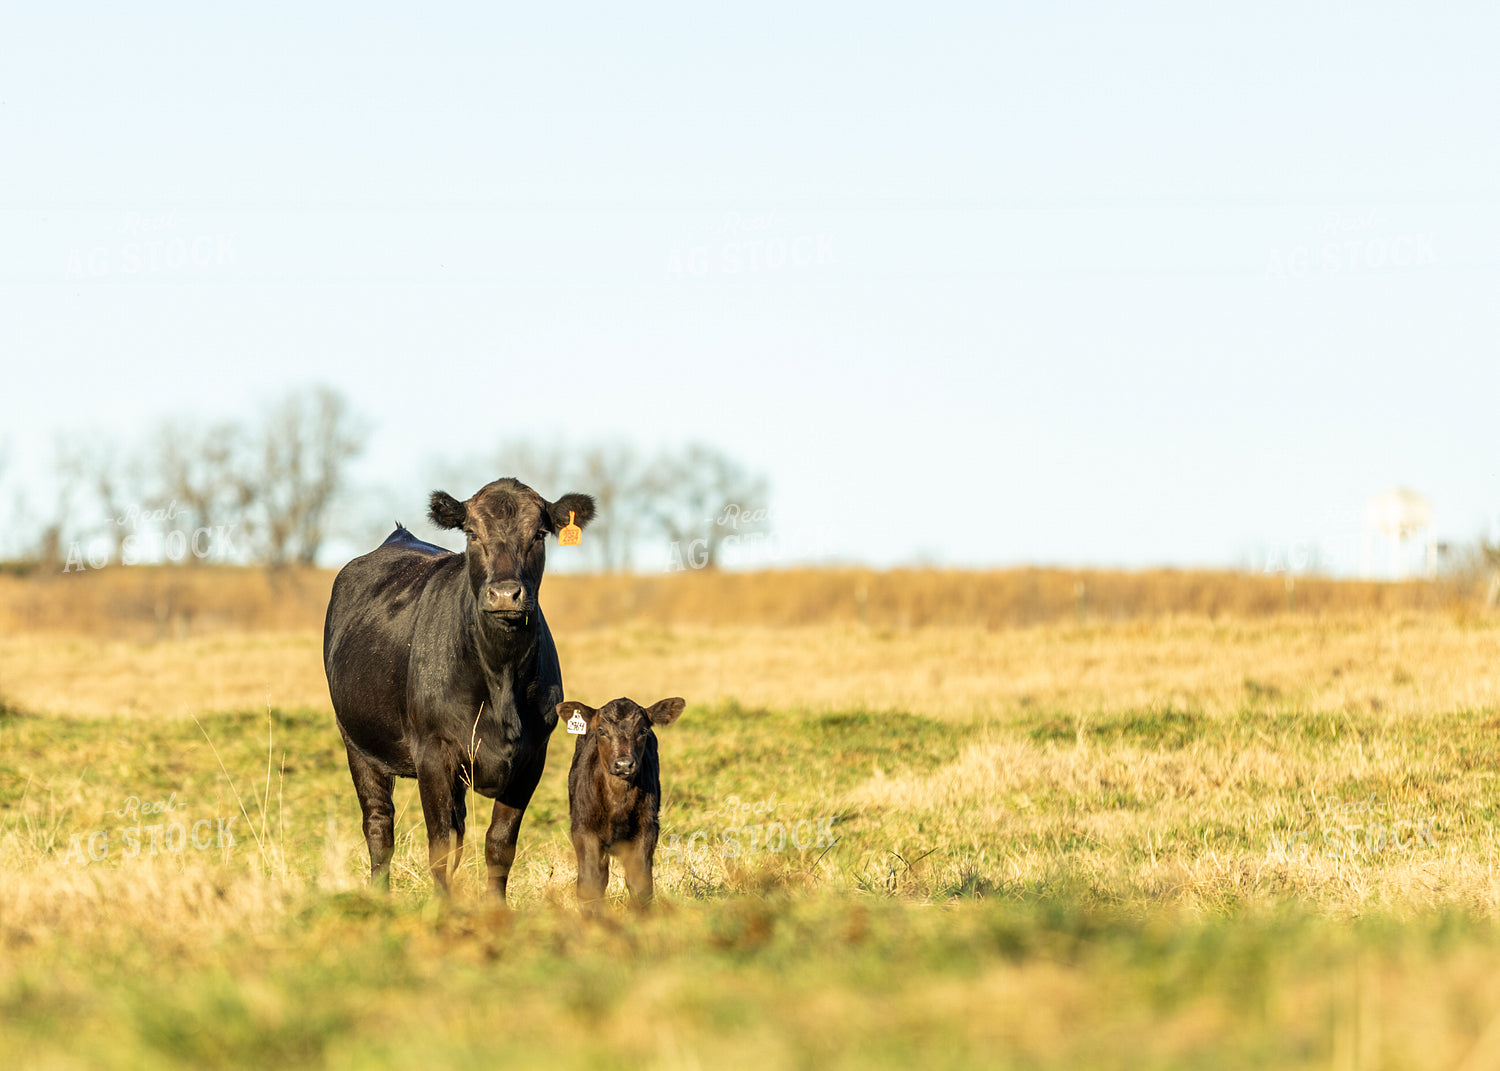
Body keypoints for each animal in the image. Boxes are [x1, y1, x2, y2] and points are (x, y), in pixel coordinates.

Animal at [323, 477, 595, 898]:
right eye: (472, 533)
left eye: (538, 534)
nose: (505, 594)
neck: (501, 678)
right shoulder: (434, 752)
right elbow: (441, 845)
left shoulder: (532, 757)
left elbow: (499, 844)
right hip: (357, 743)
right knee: (379, 825)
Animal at [555, 696, 686, 912]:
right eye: (601, 731)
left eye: (643, 731)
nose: (624, 764)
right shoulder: (583, 829)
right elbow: (590, 884)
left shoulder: (647, 829)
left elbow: (640, 884)